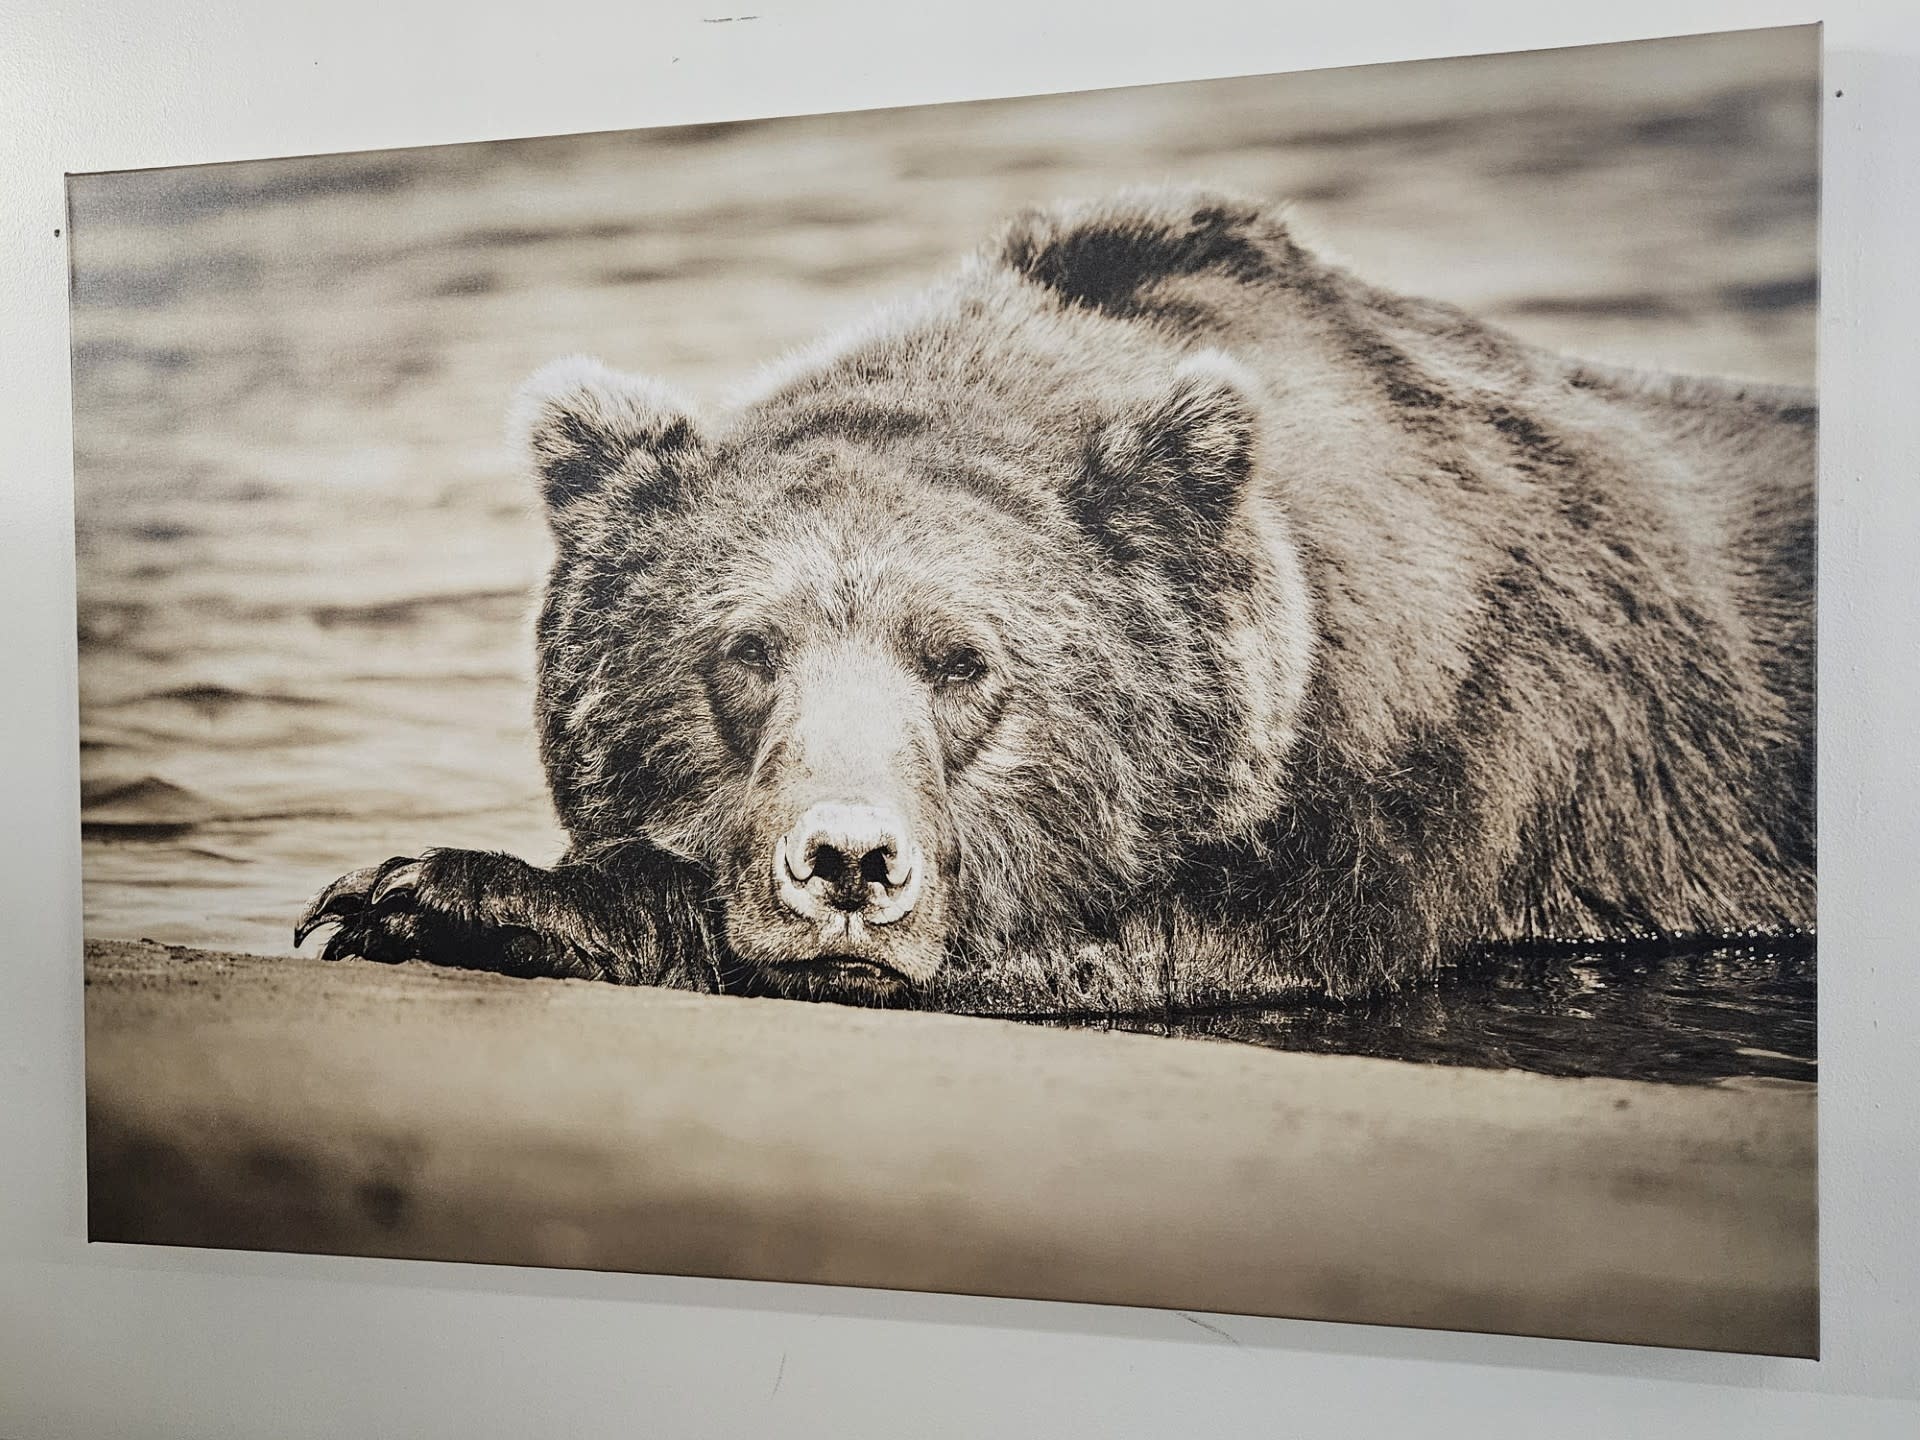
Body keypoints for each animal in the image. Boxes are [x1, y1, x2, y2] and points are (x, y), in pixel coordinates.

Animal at [295, 186, 1816, 1014]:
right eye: (748, 652)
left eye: (962, 661)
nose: (849, 863)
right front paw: (405, 889)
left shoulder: (1430, 749)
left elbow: (1171, 938)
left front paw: (437, 886)